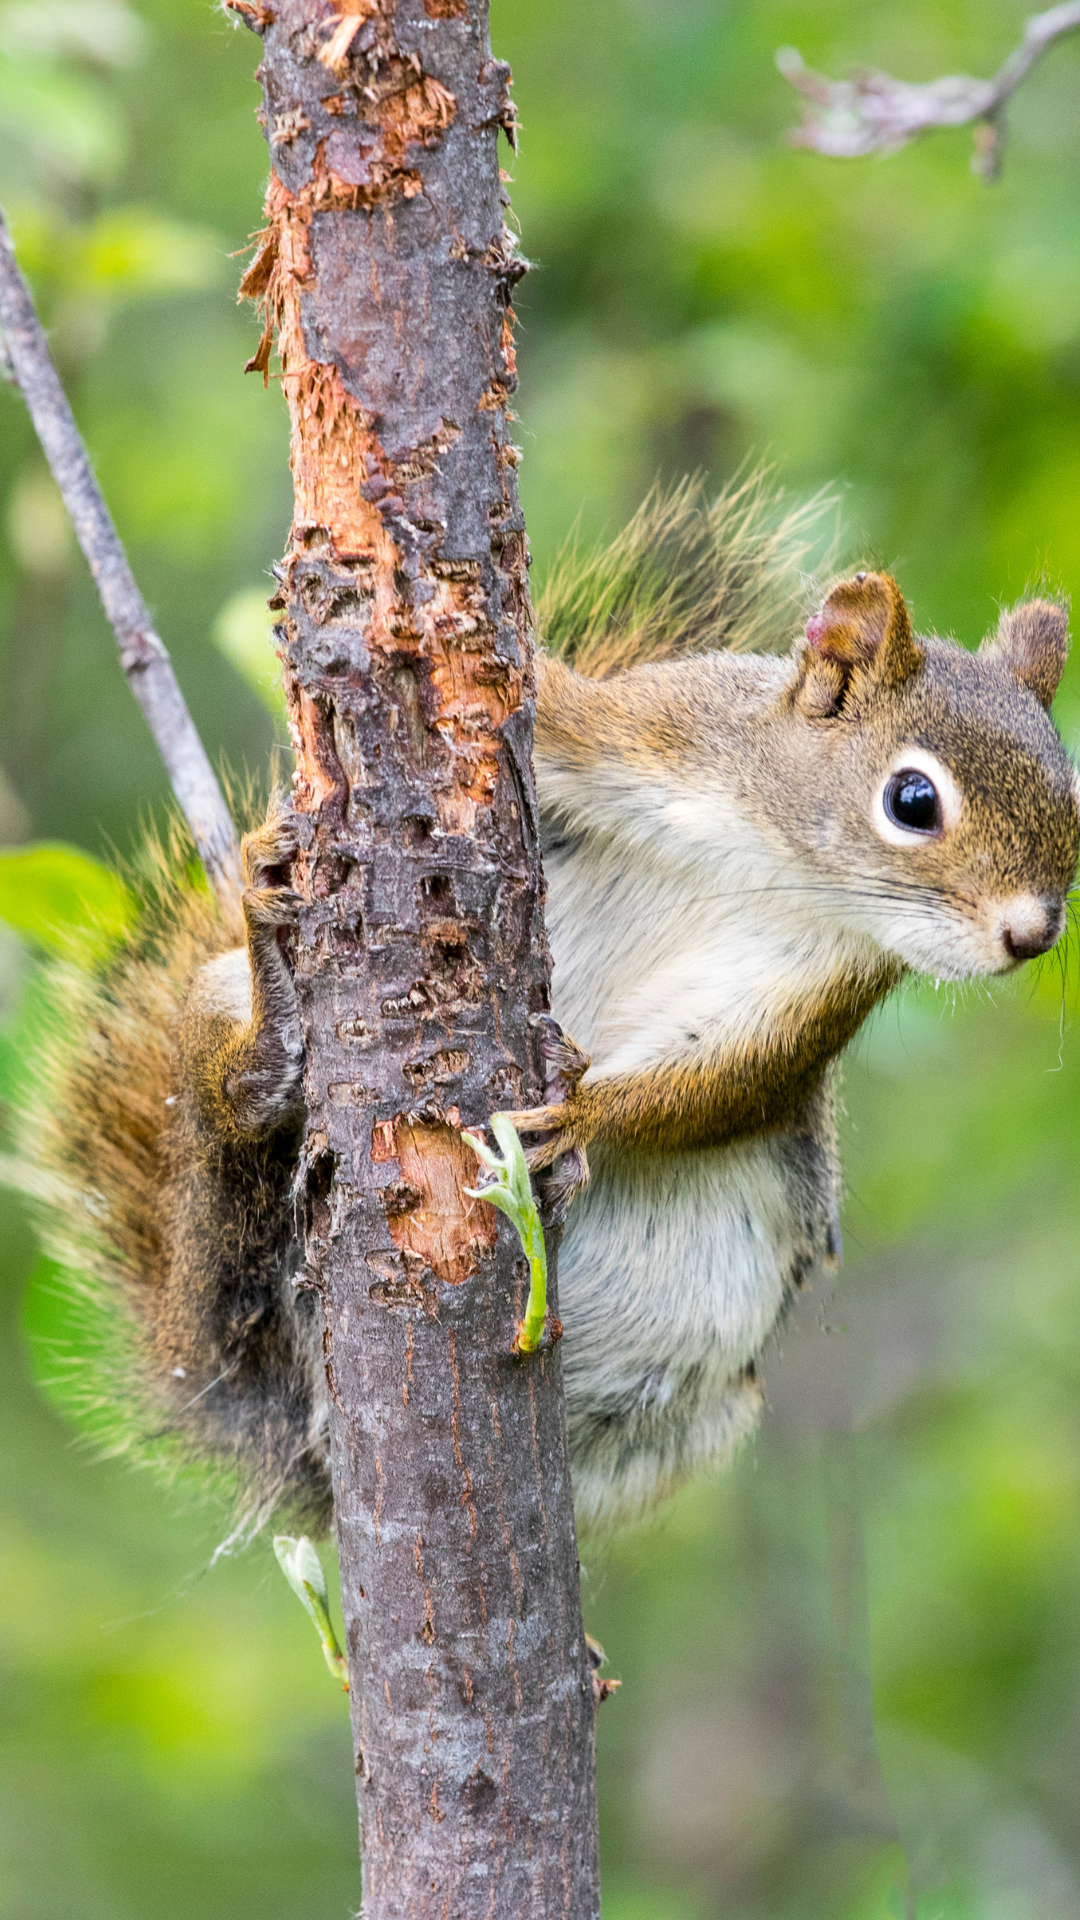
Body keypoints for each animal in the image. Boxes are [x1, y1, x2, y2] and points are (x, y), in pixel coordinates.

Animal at [10, 481, 1079, 1543]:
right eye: (913, 800)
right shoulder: (647, 732)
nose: (1032, 936)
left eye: (1074, 802)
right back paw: (268, 1023)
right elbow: (548, 705)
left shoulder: (812, 991)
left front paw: (576, 1117)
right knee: (227, 1106)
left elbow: (718, 1085)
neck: (779, 857)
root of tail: (305, 1454)